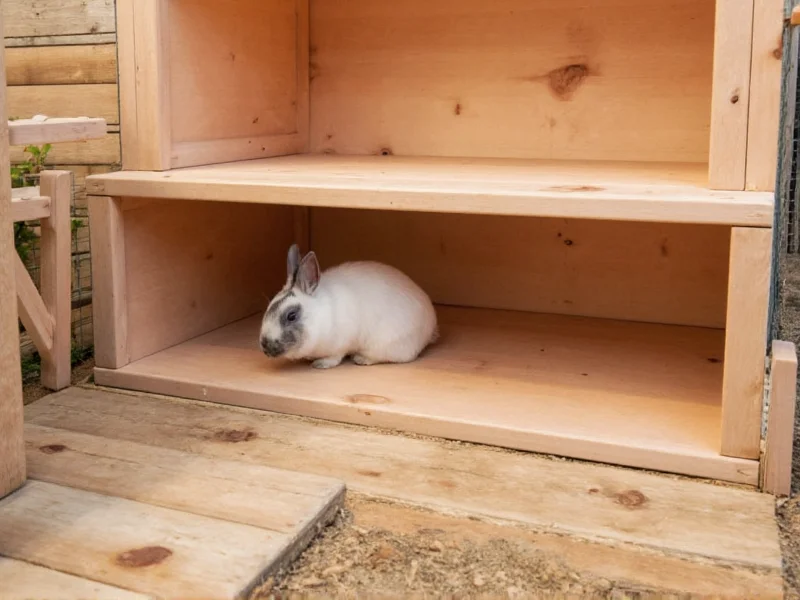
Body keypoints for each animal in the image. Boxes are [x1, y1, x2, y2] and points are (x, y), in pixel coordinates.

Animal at [259, 244, 438, 369]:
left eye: (291, 316)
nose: (265, 347)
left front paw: (320, 364)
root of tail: (431, 325)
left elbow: (335, 358)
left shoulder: (339, 344)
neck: (320, 316)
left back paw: (361, 359)